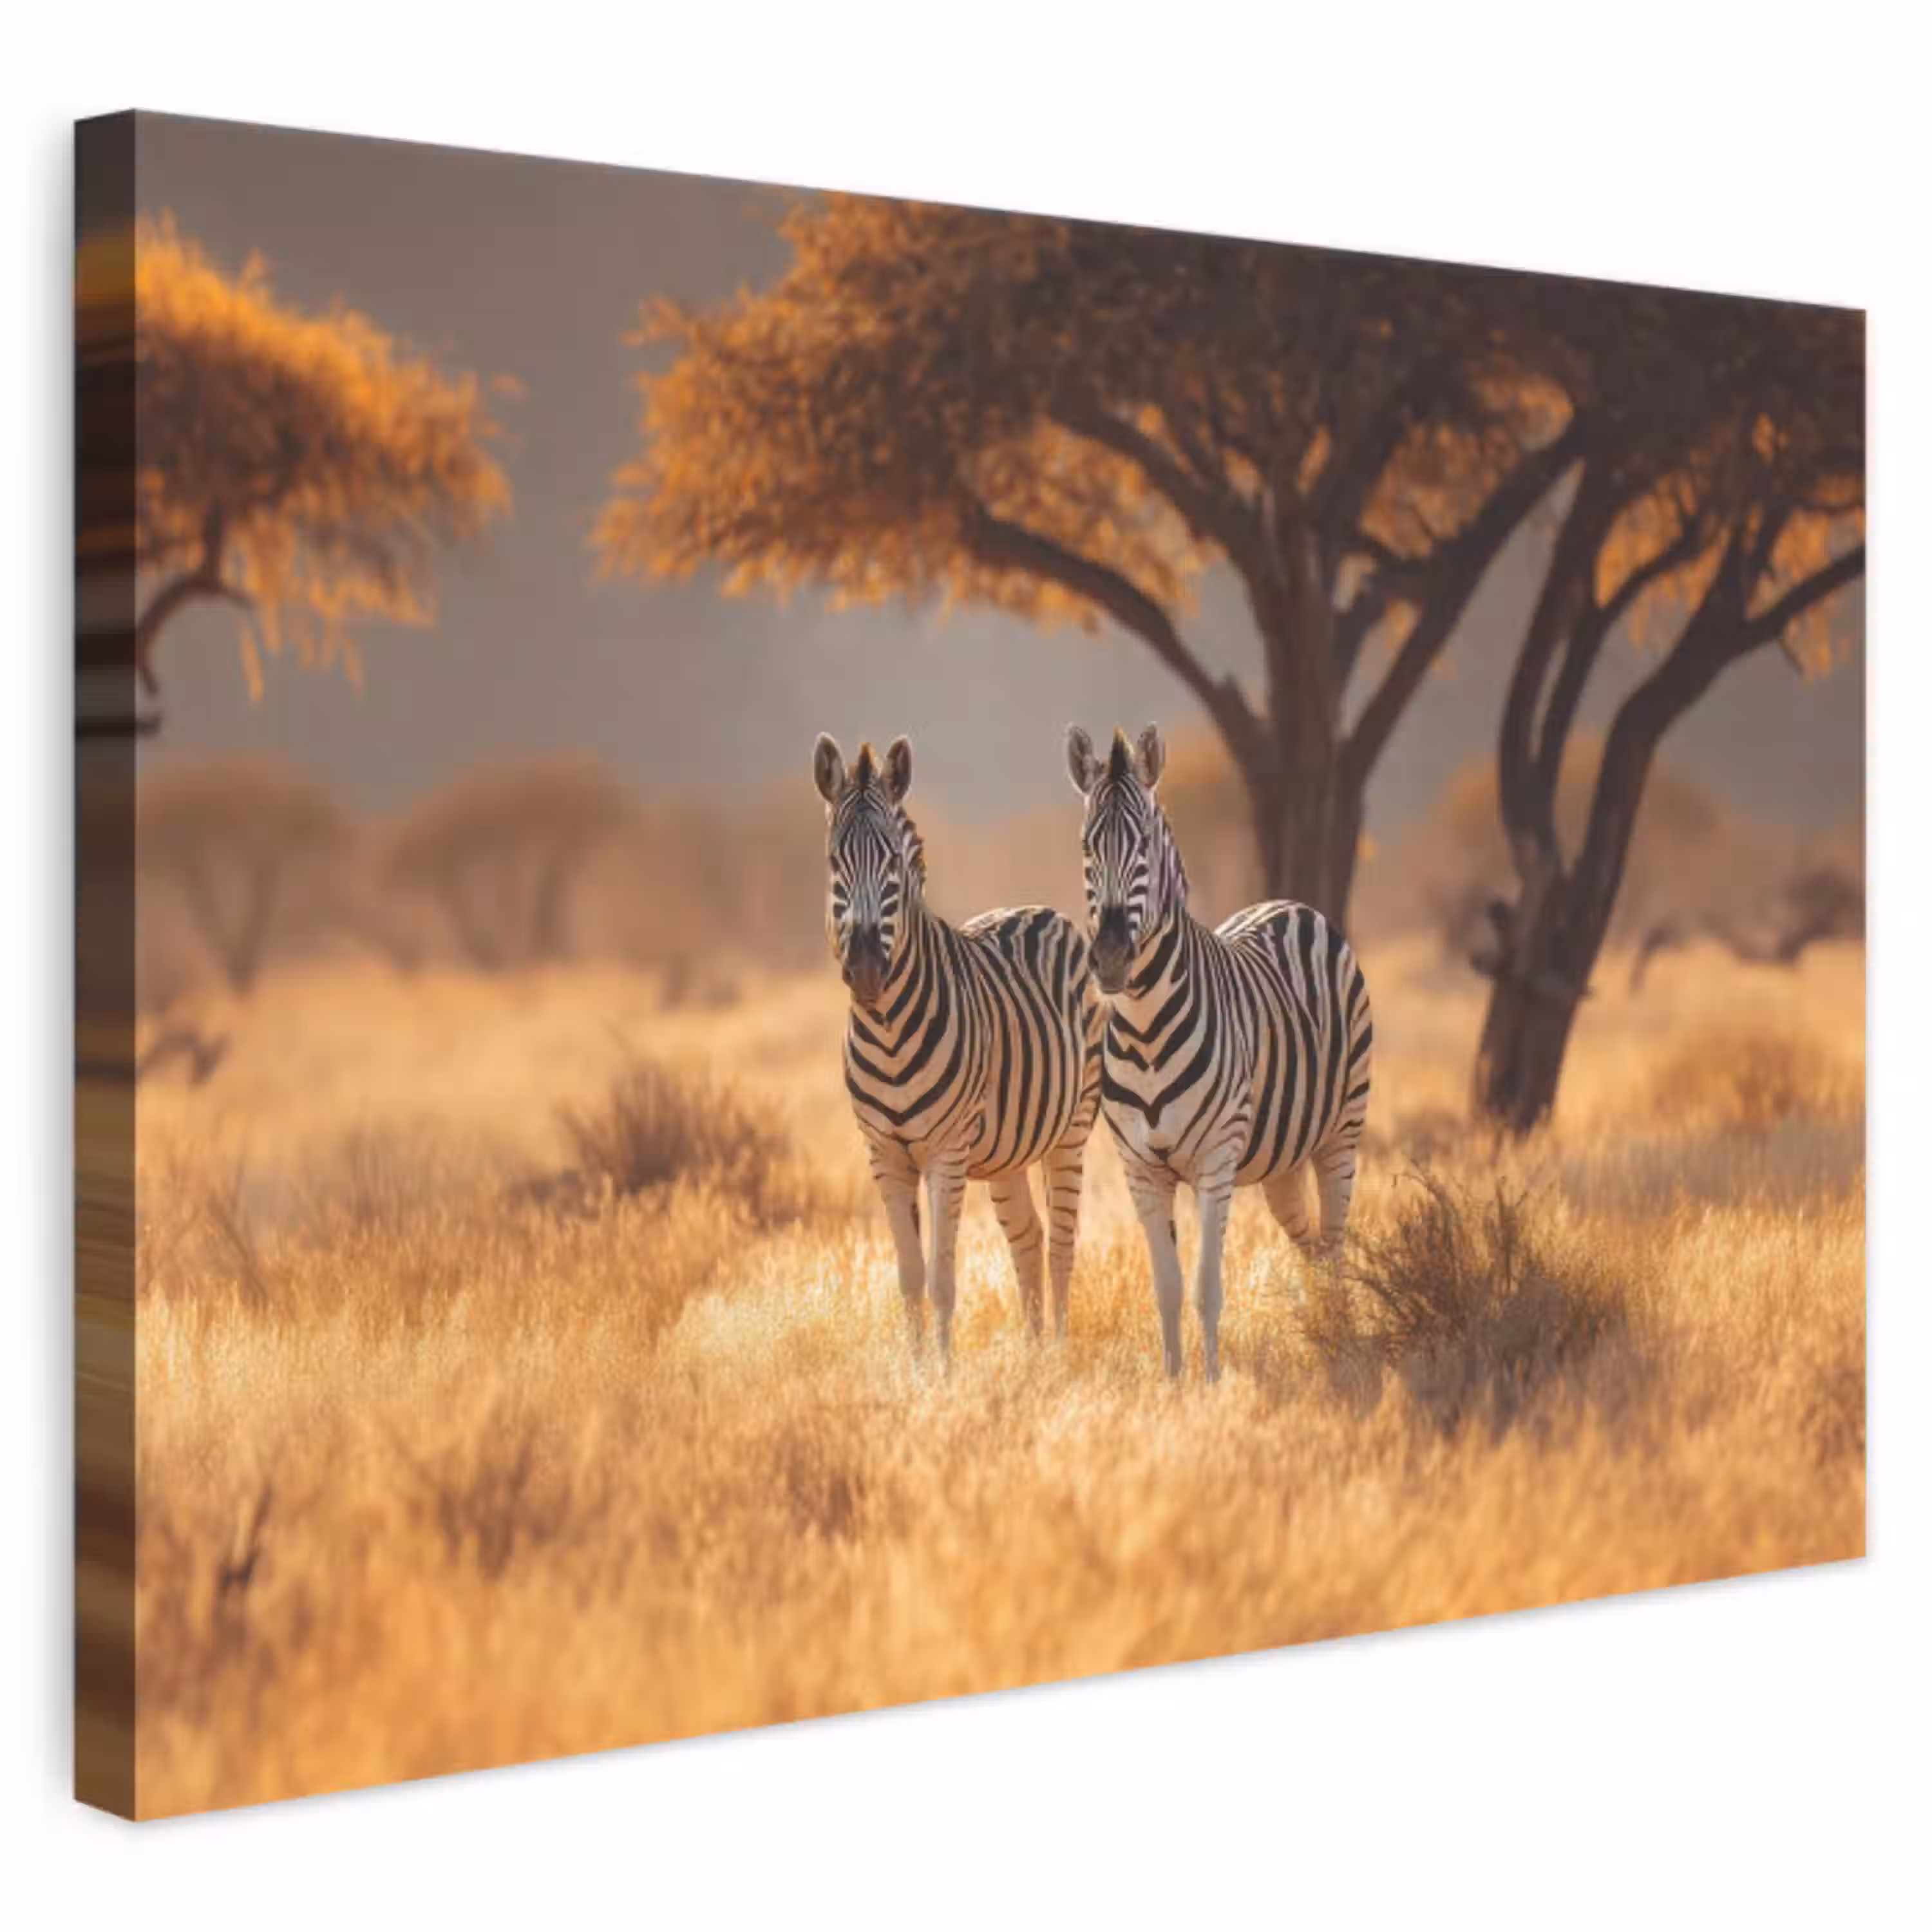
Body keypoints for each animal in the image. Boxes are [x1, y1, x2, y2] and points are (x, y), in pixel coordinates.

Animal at [815, 733, 1102, 1364]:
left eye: (894, 865)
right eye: (834, 862)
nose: (867, 969)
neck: (888, 1031)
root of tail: (1039, 909)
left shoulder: (946, 1150)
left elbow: (943, 1277)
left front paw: (944, 1374)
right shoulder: (884, 1153)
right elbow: (909, 1275)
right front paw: (917, 1370)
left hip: (1071, 1128)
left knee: (1061, 1244)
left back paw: (1059, 1355)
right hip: (1006, 1150)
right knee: (1028, 1237)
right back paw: (1032, 1356)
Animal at [1066, 723, 1373, 1382]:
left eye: (1144, 847)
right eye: (1086, 846)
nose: (1110, 958)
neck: (1147, 1031)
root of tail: (1291, 905)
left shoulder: (1214, 1160)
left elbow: (1207, 1286)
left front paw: (1211, 1384)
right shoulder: (1141, 1170)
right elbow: (1167, 1286)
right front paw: (1173, 1383)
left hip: (1341, 1132)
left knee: (1335, 1244)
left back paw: (1341, 1343)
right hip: (1283, 1159)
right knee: (1312, 1246)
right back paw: (1321, 1333)